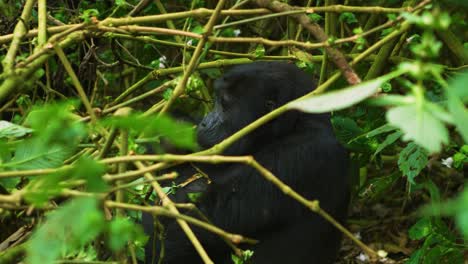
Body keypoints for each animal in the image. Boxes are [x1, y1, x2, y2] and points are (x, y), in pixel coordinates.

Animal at [143, 61, 352, 264]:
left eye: (224, 105)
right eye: (216, 101)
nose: (205, 122)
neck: (292, 126)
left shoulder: (303, 154)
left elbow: (195, 229)